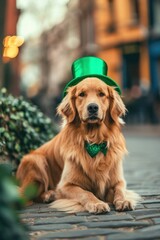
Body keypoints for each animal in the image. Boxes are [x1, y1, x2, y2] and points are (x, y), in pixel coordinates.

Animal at [15, 77, 140, 214]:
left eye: (102, 94)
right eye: (82, 94)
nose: (92, 107)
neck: (94, 141)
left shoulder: (118, 181)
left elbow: (120, 190)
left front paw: (123, 201)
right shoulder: (65, 185)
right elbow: (86, 193)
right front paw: (97, 203)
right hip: (36, 161)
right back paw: (49, 195)